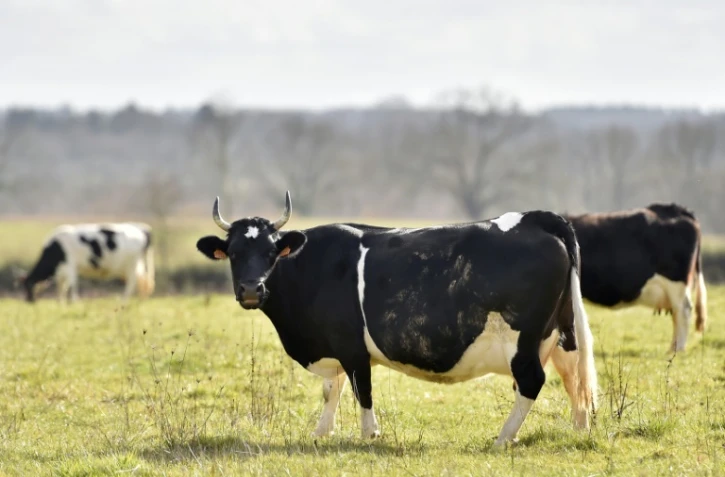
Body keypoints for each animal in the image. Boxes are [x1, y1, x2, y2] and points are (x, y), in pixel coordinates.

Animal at [19, 222, 155, 303]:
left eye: (29, 285)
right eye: (23, 286)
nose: (28, 301)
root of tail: (143, 229)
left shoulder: (70, 266)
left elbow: (71, 285)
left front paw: (74, 302)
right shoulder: (62, 271)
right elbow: (61, 287)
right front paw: (60, 303)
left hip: (132, 264)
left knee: (133, 283)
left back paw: (124, 300)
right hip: (136, 265)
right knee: (142, 281)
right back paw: (140, 299)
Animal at [195, 192, 598, 446]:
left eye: (270, 252)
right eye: (233, 252)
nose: (251, 289)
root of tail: (534, 218)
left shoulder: (352, 346)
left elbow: (361, 389)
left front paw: (369, 435)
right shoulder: (331, 346)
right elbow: (331, 389)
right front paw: (321, 432)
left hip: (521, 338)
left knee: (532, 381)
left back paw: (503, 437)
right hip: (563, 332)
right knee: (573, 378)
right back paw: (579, 429)